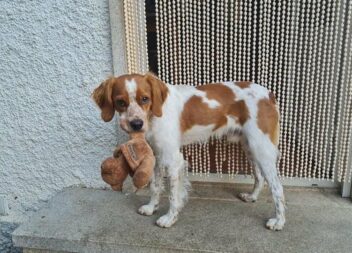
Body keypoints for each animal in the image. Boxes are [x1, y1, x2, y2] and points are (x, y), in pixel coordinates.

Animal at [92, 72, 284, 230]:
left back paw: (278, 221)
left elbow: (172, 194)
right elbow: (155, 186)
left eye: (145, 99)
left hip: (261, 147)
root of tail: (269, 94)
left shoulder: (173, 159)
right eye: (120, 102)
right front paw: (151, 207)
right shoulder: (157, 155)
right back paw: (252, 197)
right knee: (259, 177)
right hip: (250, 146)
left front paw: (169, 218)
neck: (154, 115)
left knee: (277, 186)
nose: (136, 124)